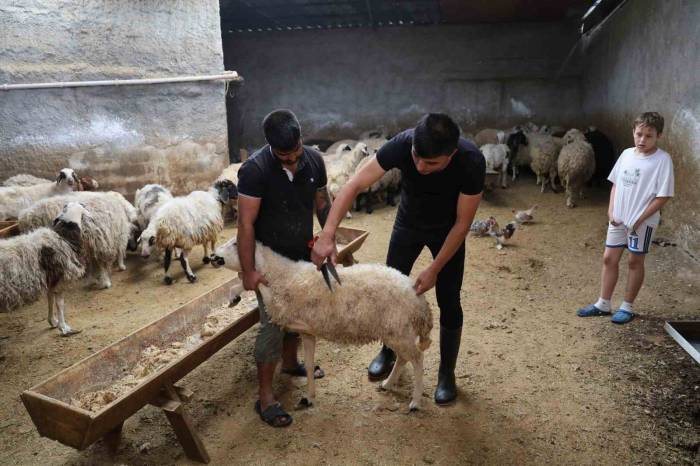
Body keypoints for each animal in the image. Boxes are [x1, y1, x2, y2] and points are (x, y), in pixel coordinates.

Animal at [0, 203, 88, 334]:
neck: (64, 236)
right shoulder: (60, 279)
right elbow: (60, 304)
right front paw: (64, 327)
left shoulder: (51, 279)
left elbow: (50, 299)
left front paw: (53, 321)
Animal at [212, 238, 432, 410]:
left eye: (235, 243)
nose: (212, 257)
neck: (283, 274)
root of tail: (417, 296)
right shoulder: (307, 331)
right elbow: (309, 365)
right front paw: (309, 397)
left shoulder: (280, 304)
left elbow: (260, 286)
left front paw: (240, 288)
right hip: (396, 331)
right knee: (403, 358)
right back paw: (388, 383)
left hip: (399, 329)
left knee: (417, 358)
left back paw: (415, 401)